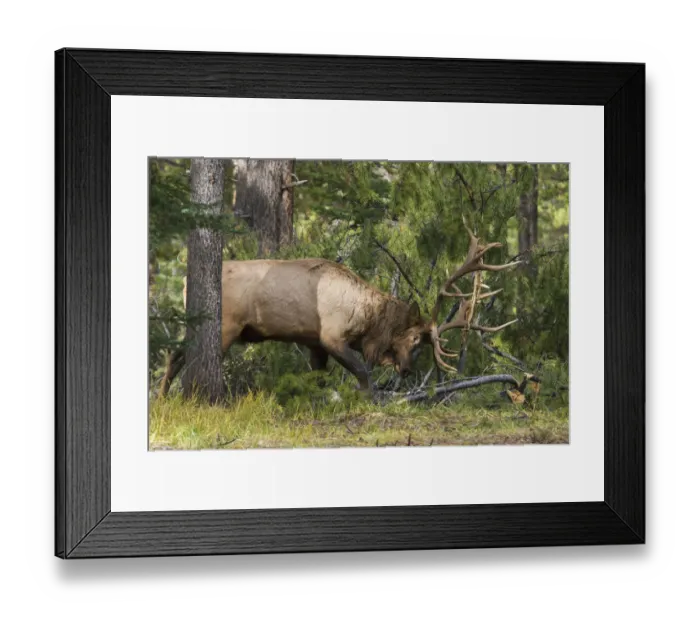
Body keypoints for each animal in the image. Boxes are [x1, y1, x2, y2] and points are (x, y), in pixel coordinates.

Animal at [158, 228, 521, 397]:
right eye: (415, 338)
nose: (406, 371)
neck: (367, 323)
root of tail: (186, 281)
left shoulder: (314, 344)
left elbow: (318, 380)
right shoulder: (331, 336)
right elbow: (362, 373)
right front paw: (366, 399)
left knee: (173, 356)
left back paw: (161, 398)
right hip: (225, 327)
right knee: (184, 357)